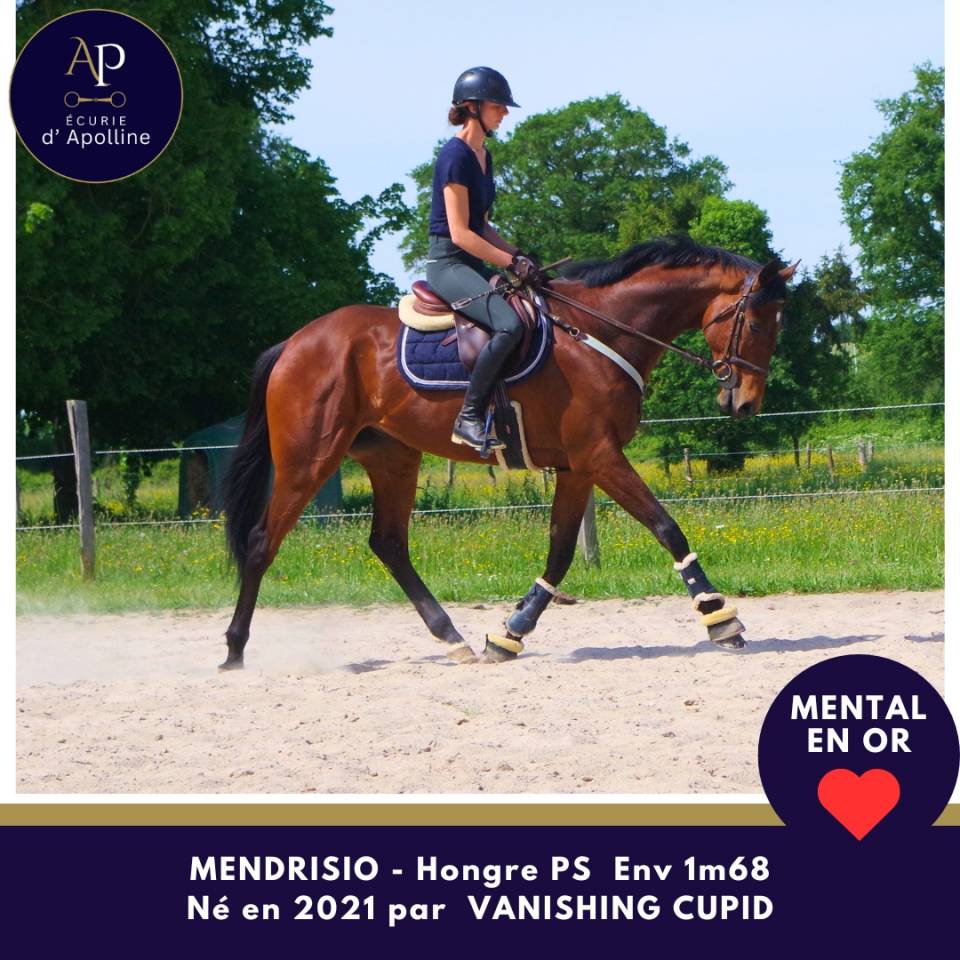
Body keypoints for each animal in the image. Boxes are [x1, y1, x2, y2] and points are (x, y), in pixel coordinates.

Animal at [219, 235, 798, 668]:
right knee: (261, 541)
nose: (746, 404)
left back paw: (452, 637)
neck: (599, 329)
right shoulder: (600, 455)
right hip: (308, 458)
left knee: (388, 543)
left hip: (393, 458)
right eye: (757, 323)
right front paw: (720, 617)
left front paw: (511, 632)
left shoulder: (577, 465)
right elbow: (666, 527)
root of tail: (295, 343)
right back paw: (234, 650)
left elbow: (561, 552)